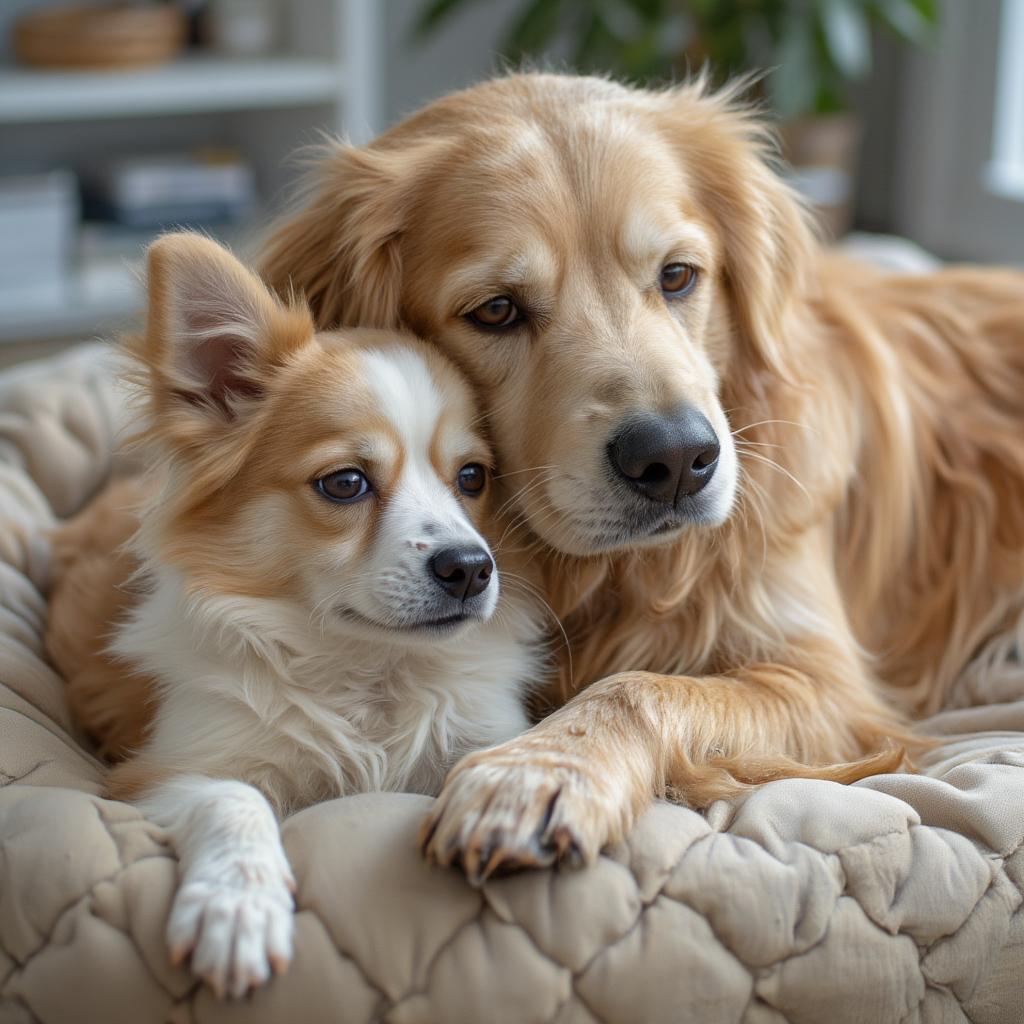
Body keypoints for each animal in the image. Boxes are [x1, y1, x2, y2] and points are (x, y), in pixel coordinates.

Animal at [47, 234, 540, 999]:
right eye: (345, 483)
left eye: (473, 478)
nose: (470, 566)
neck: (365, 670)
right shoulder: (162, 772)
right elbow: (233, 799)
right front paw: (236, 907)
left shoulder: (484, 731)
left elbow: (495, 760)